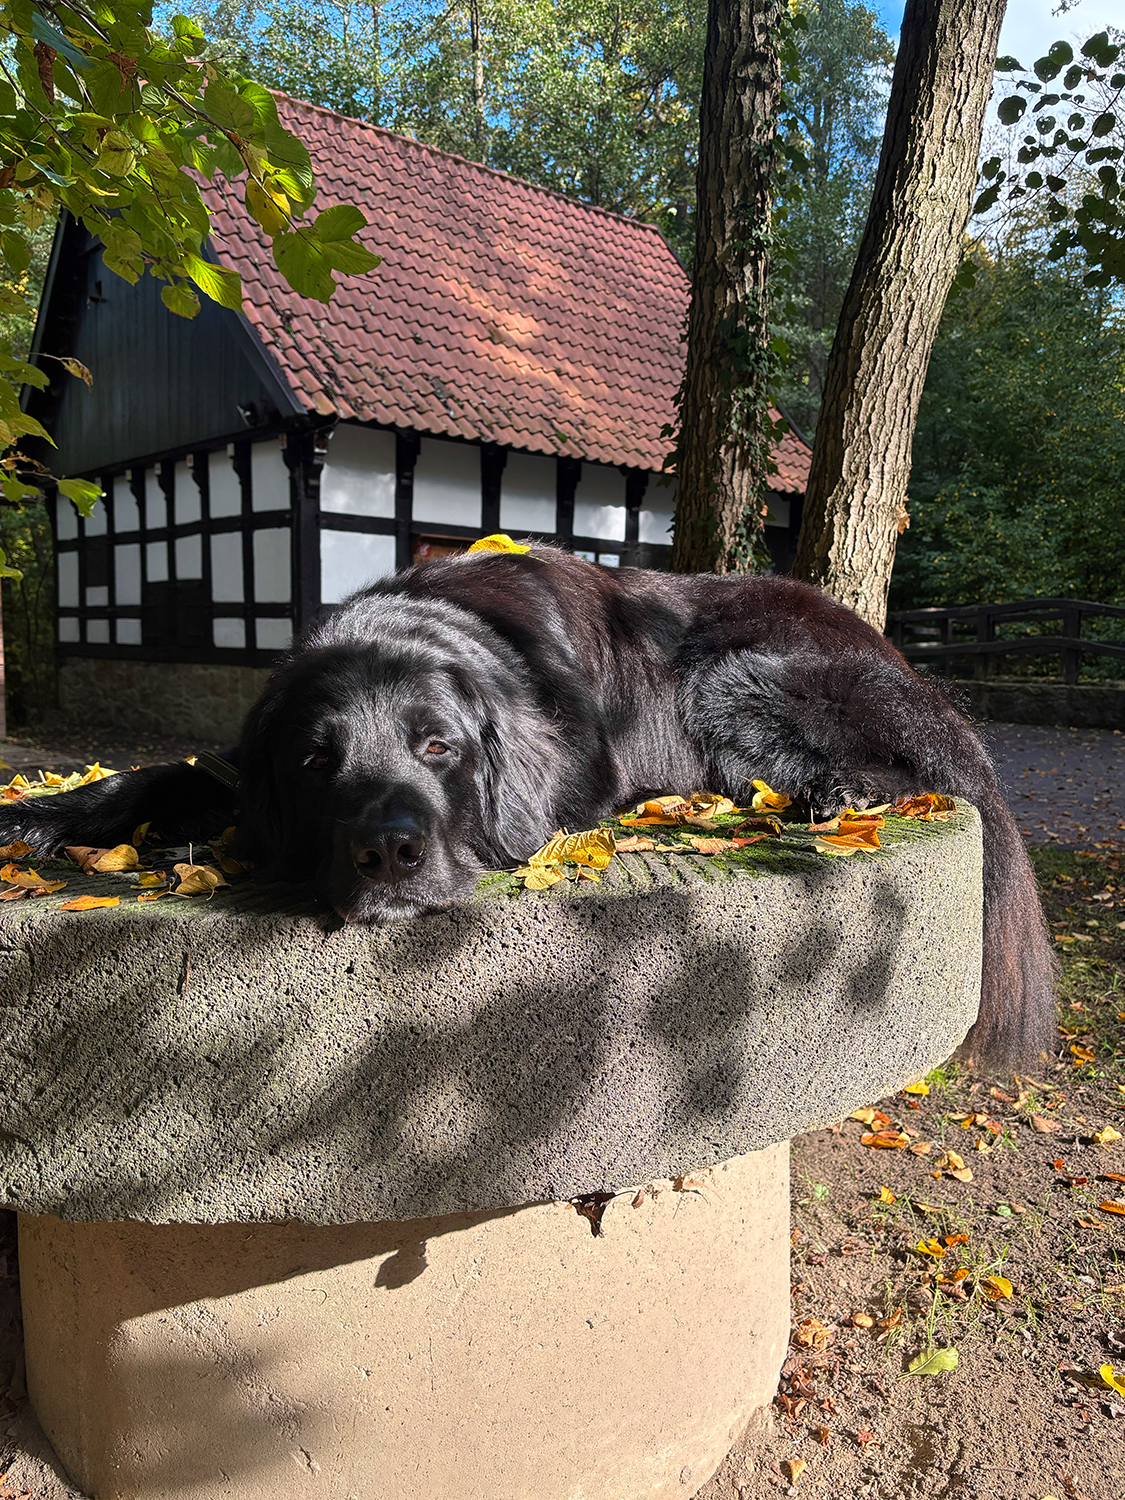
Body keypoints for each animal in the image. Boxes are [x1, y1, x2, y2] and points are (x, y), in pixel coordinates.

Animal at [0, 546, 1055, 1064]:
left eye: (439, 746)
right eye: (312, 760)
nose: (388, 853)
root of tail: (903, 660)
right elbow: (164, 775)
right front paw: (42, 818)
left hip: (738, 675)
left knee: (906, 770)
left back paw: (829, 791)